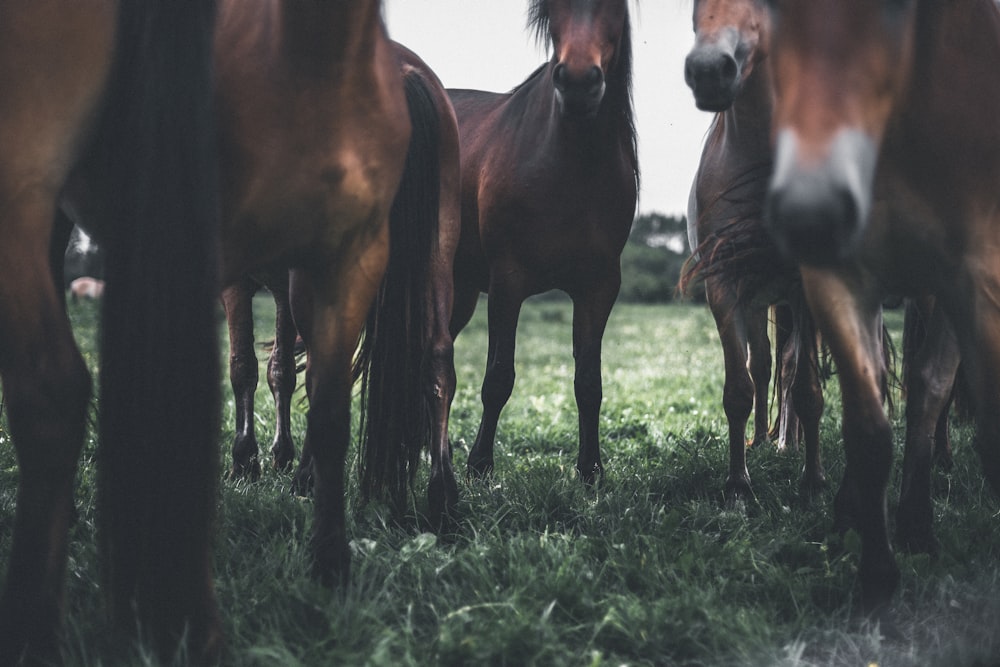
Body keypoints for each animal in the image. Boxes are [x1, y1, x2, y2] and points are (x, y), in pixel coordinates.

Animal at [448, 0, 636, 486]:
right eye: (554, 9)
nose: (578, 82)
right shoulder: (507, 283)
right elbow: (498, 378)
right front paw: (480, 466)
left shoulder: (598, 288)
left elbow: (589, 382)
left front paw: (590, 471)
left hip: (457, 293)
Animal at [684, 0, 824, 504]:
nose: (709, 71)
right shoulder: (725, 288)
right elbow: (739, 389)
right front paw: (738, 486)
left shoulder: (806, 286)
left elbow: (806, 388)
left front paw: (813, 481)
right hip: (756, 300)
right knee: (762, 365)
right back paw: (764, 440)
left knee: (788, 366)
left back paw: (790, 444)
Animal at [760, 0, 1000, 616]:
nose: (812, 212)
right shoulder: (838, 281)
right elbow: (868, 429)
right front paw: (876, 577)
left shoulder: (969, 280)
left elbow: (944, 400)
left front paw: (913, 530)